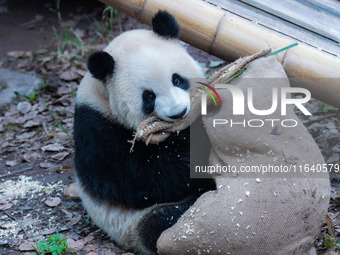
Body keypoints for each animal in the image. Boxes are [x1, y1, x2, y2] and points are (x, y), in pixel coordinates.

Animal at [74, 10, 215, 255]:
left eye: (177, 79)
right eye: (148, 96)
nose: (179, 113)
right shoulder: (95, 130)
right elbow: (145, 177)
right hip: (132, 225)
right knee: (161, 223)